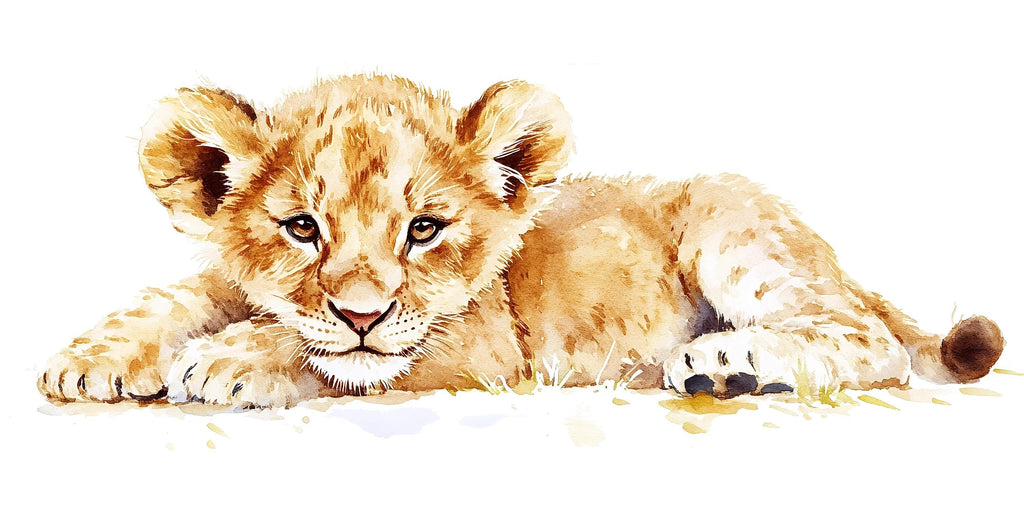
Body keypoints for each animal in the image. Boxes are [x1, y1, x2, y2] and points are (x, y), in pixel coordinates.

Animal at [38, 74, 1005, 408]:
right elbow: (183, 294)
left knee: (869, 339)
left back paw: (727, 364)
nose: (360, 314)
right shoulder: (232, 281)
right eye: (301, 228)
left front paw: (233, 361)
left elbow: (336, 355)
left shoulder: (485, 339)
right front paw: (89, 359)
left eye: (425, 230)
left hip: (731, 231)